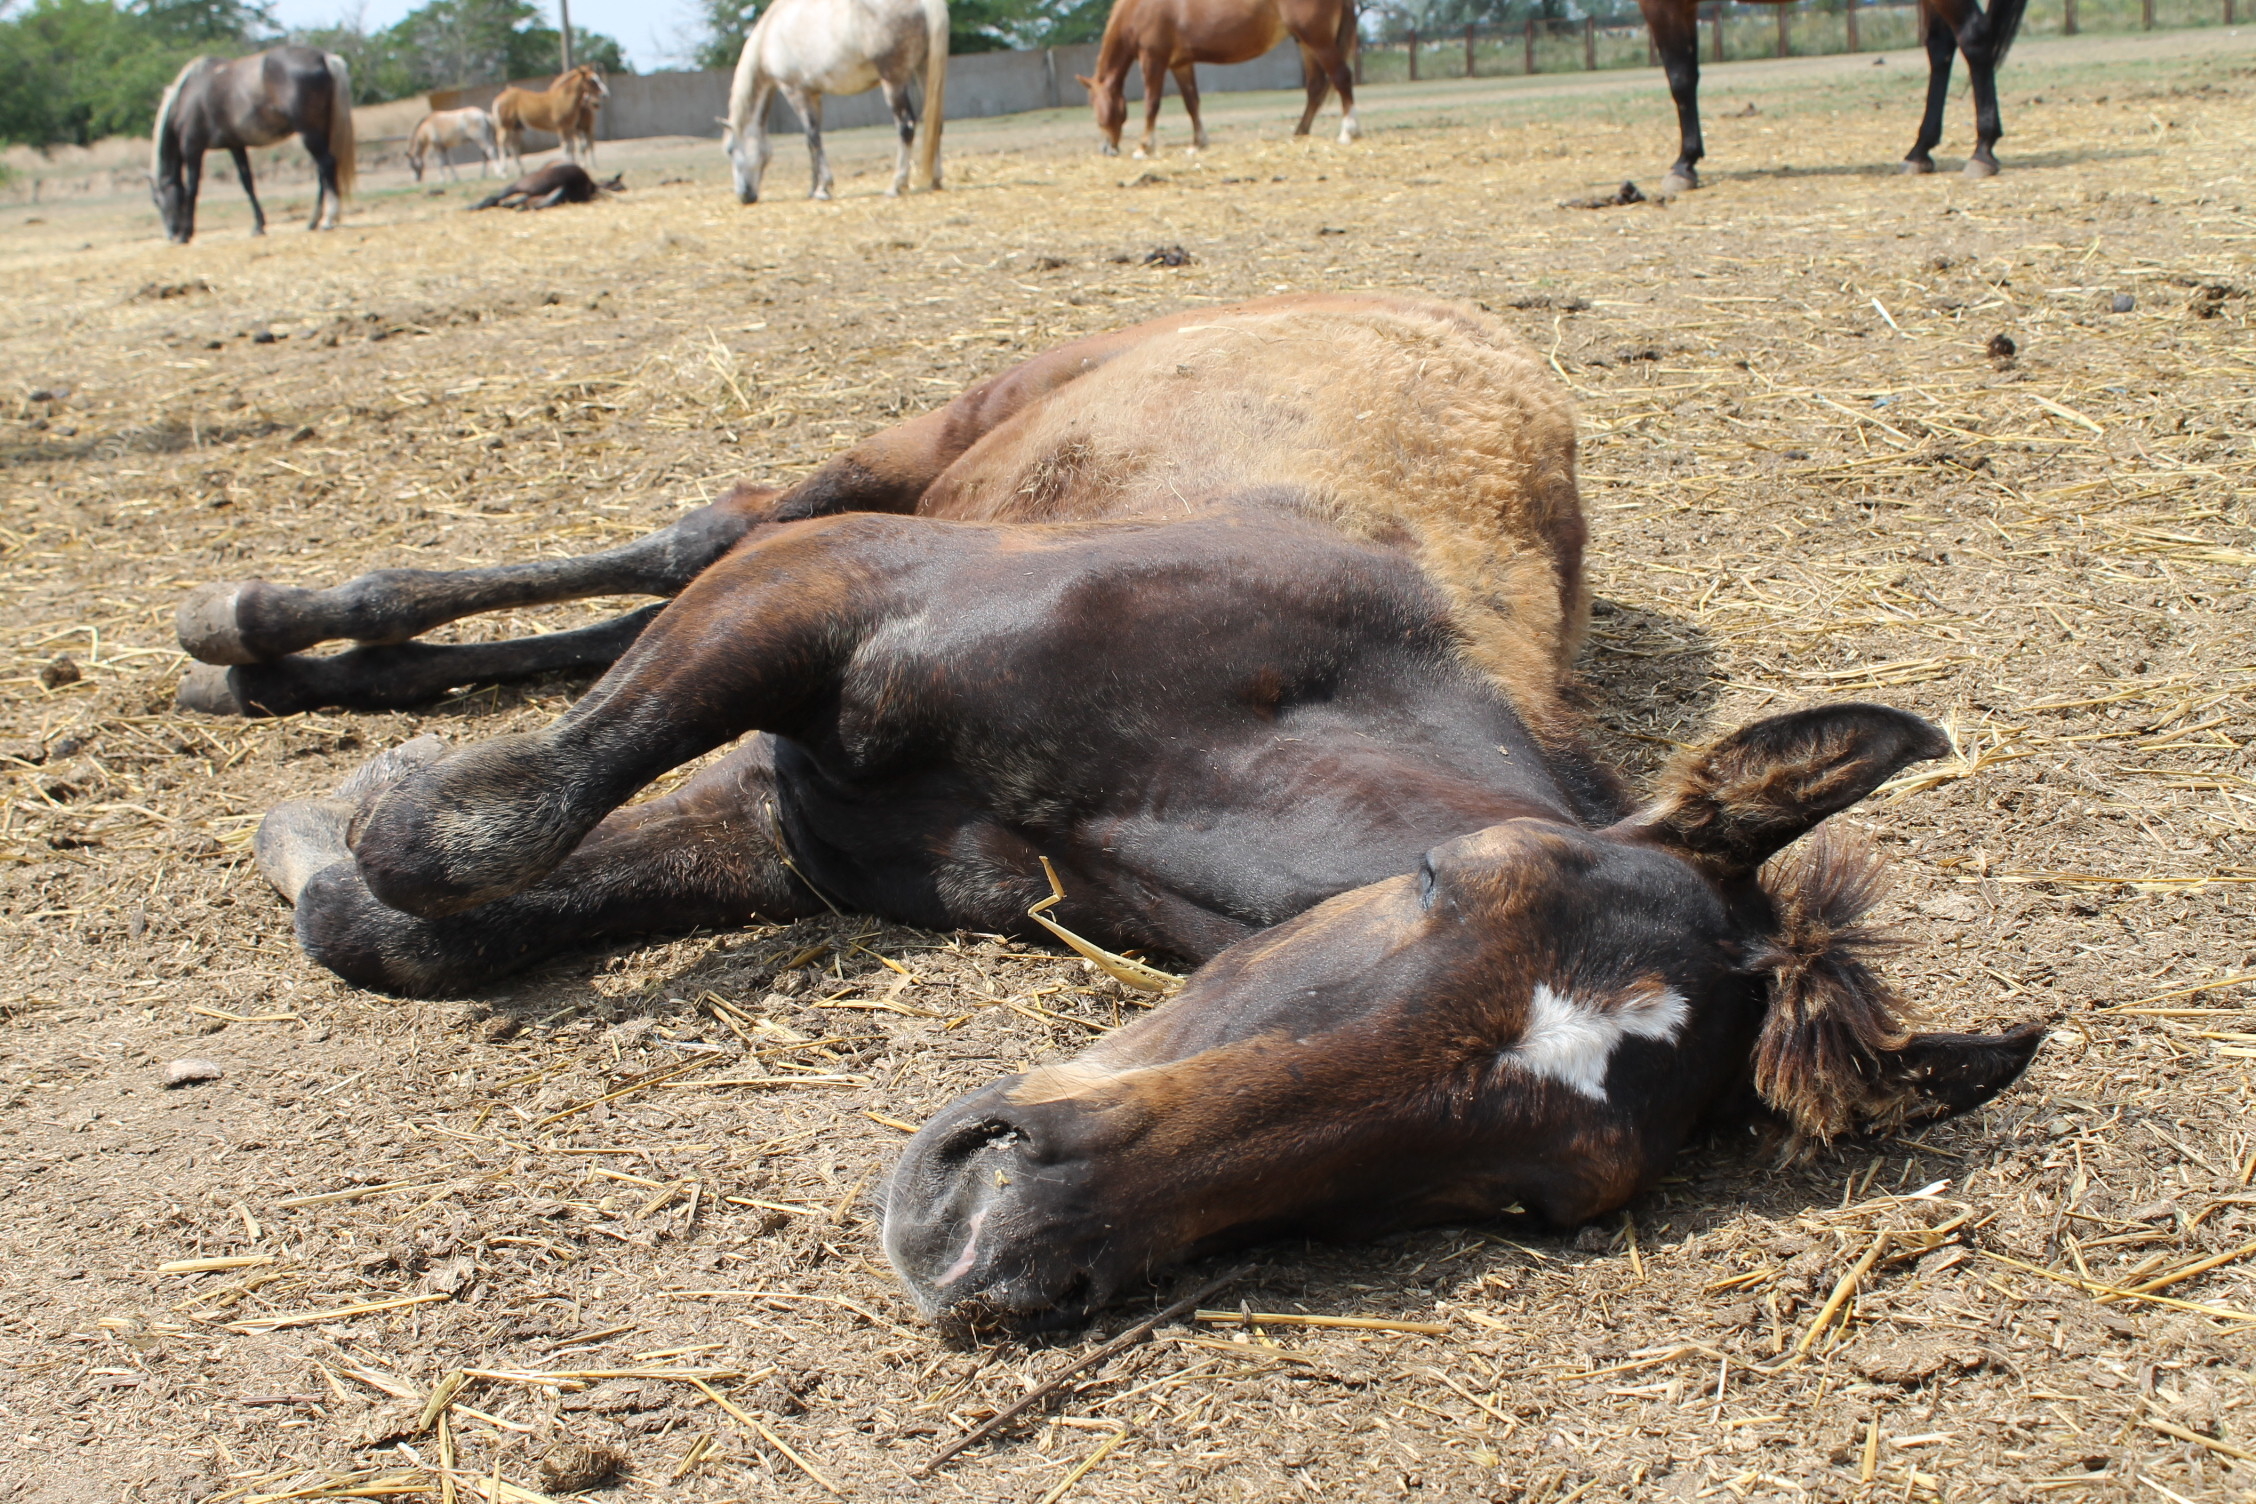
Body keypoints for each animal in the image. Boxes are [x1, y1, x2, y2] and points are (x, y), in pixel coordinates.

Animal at [147, 46, 354, 244]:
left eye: (156, 200)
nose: (171, 234)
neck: (186, 97)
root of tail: (324, 57)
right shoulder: (235, 145)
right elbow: (247, 183)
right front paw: (258, 226)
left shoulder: (192, 148)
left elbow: (192, 189)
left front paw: (186, 234)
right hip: (321, 131)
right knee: (322, 172)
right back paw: (313, 221)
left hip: (309, 132)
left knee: (326, 163)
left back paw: (328, 220)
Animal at [184, 299, 2039, 1334]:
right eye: (1446, 880)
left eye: (1542, 1192)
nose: (981, 1229)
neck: (1230, 714)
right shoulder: (828, 590)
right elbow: (465, 835)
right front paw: (345, 796)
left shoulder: (798, 831)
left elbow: (413, 915)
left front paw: (327, 820)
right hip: (924, 441)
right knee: (702, 524)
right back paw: (253, 633)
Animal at [717, 0, 938, 202]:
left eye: (730, 149)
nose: (744, 197)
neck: (769, 34)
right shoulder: (813, 95)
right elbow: (811, 140)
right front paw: (813, 188)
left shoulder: (795, 92)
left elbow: (813, 137)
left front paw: (823, 189)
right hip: (924, 70)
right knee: (934, 124)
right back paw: (935, 180)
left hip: (893, 82)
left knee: (906, 127)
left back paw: (896, 185)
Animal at [1082, 0, 1362, 157]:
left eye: (1098, 115)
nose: (1106, 150)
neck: (1139, 8)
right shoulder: (1180, 64)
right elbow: (1191, 102)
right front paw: (1198, 143)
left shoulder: (1153, 60)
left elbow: (1152, 103)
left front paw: (1144, 147)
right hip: (1305, 42)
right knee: (1315, 87)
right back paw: (1300, 133)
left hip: (1318, 40)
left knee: (1341, 77)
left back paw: (1348, 132)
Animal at [1642, 0, 2030, 193]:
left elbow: (1680, 77)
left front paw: (1684, 164)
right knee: (1941, 47)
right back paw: (1919, 152)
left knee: (1974, 37)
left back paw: (1982, 151)